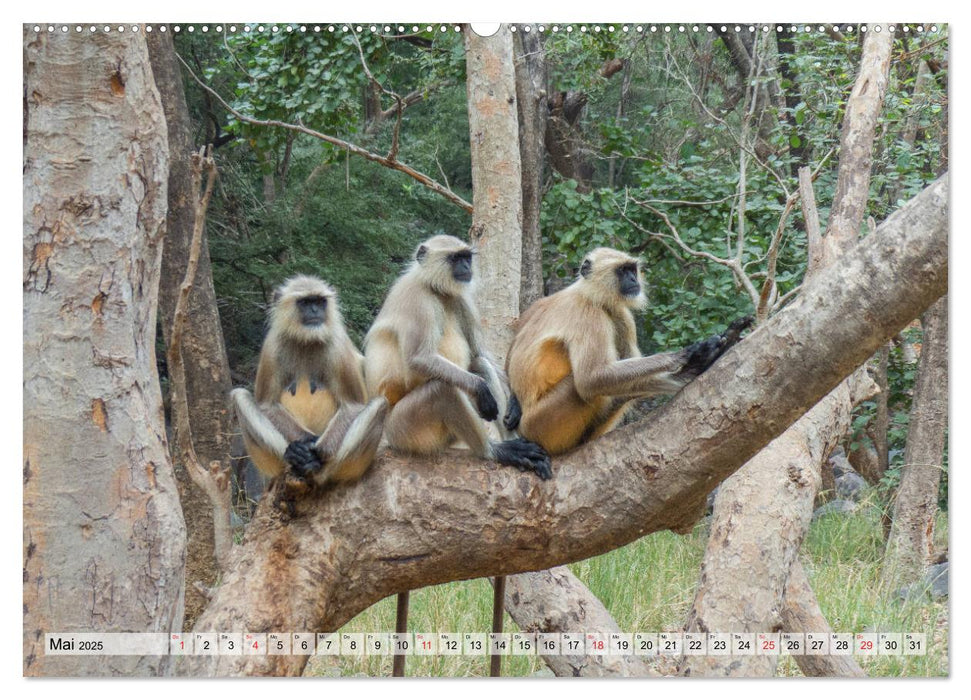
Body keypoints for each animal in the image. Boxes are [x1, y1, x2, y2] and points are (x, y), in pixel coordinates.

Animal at [234, 274, 390, 504]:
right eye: (306, 302)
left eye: (319, 302)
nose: (315, 311)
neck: (305, 340)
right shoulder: (272, 345)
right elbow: (267, 405)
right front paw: (302, 447)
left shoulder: (338, 344)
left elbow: (351, 406)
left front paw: (313, 451)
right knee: (239, 395)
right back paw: (295, 457)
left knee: (380, 404)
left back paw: (314, 465)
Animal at [502, 246, 752, 454]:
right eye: (622, 271)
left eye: (632, 269)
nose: (633, 279)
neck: (588, 293)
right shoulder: (589, 313)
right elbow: (591, 378)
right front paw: (684, 356)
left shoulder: (620, 313)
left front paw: (693, 368)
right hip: (538, 425)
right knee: (578, 386)